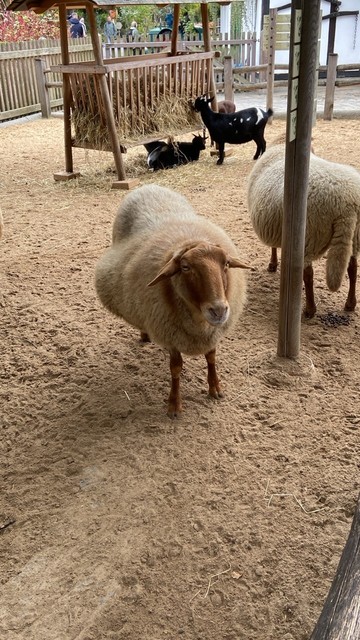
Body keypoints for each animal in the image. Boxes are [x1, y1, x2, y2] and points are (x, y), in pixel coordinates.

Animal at [94, 184, 249, 420]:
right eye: (185, 267)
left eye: (226, 264)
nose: (219, 310)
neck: (199, 321)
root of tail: (148, 186)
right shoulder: (169, 334)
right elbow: (175, 368)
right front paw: (174, 405)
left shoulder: (212, 333)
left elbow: (211, 357)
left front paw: (215, 388)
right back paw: (144, 333)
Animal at [246, 144, 360, 316]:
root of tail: (347, 205)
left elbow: (273, 246)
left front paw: (272, 264)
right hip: (355, 237)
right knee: (352, 268)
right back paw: (350, 304)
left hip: (310, 236)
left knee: (308, 273)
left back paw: (310, 309)